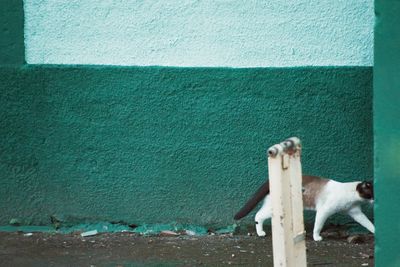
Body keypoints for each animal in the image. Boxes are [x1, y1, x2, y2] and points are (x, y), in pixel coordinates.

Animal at [234, 176, 376, 243]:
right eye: (371, 194)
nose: (376, 200)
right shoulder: (324, 211)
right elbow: (318, 226)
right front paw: (316, 237)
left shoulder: (356, 213)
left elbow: (368, 224)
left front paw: (376, 232)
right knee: (258, 215)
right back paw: (260, 233)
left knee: (259, 214)